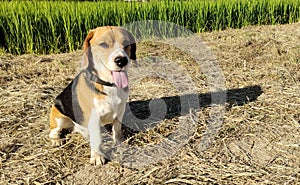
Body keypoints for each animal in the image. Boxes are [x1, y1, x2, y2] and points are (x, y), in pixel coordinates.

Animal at [49, 25, 136, 165]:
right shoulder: (94, 118)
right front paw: (97, 156)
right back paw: (57, 139)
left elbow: (117, 130)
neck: (109, 84)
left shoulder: (120, 111)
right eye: (103, 44)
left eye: (126, 44)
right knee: (52, 131)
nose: (121, 61)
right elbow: (97, 140)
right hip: (59, 117)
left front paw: (119, 144)